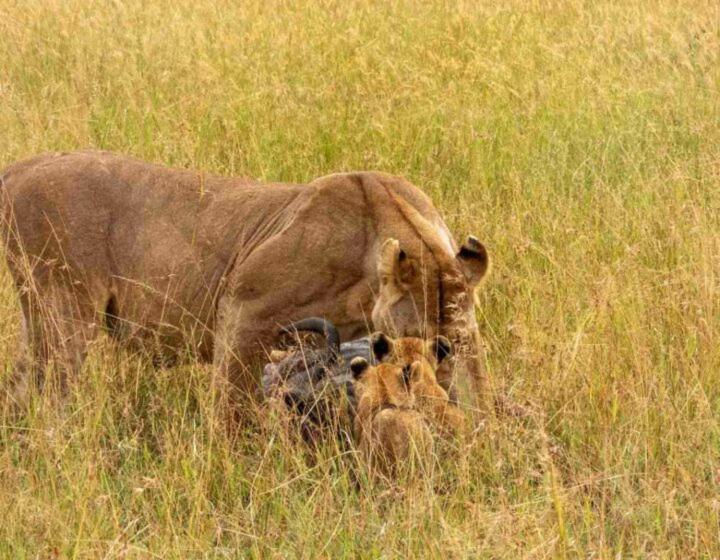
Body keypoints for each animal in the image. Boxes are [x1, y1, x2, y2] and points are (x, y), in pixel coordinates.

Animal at [0, 151, 490, 410]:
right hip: (64, 316)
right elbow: (232, 409)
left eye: (453, 346)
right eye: (415, 340)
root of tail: (21, 167)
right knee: (45, 396)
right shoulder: (242, 310)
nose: (433, 386)